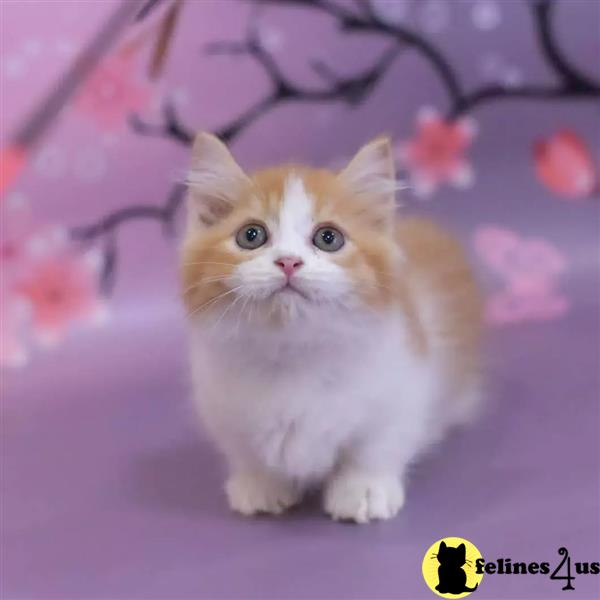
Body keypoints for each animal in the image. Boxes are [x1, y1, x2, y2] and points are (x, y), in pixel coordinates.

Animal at [179, 130, 482, 520]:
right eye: (251, 235)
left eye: (328, 238)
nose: (289, 262)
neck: (293, 354)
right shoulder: (220, 405)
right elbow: (246, 452)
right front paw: (261, 484)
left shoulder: (402, 387)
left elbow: (377, 445)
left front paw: (364, 489)